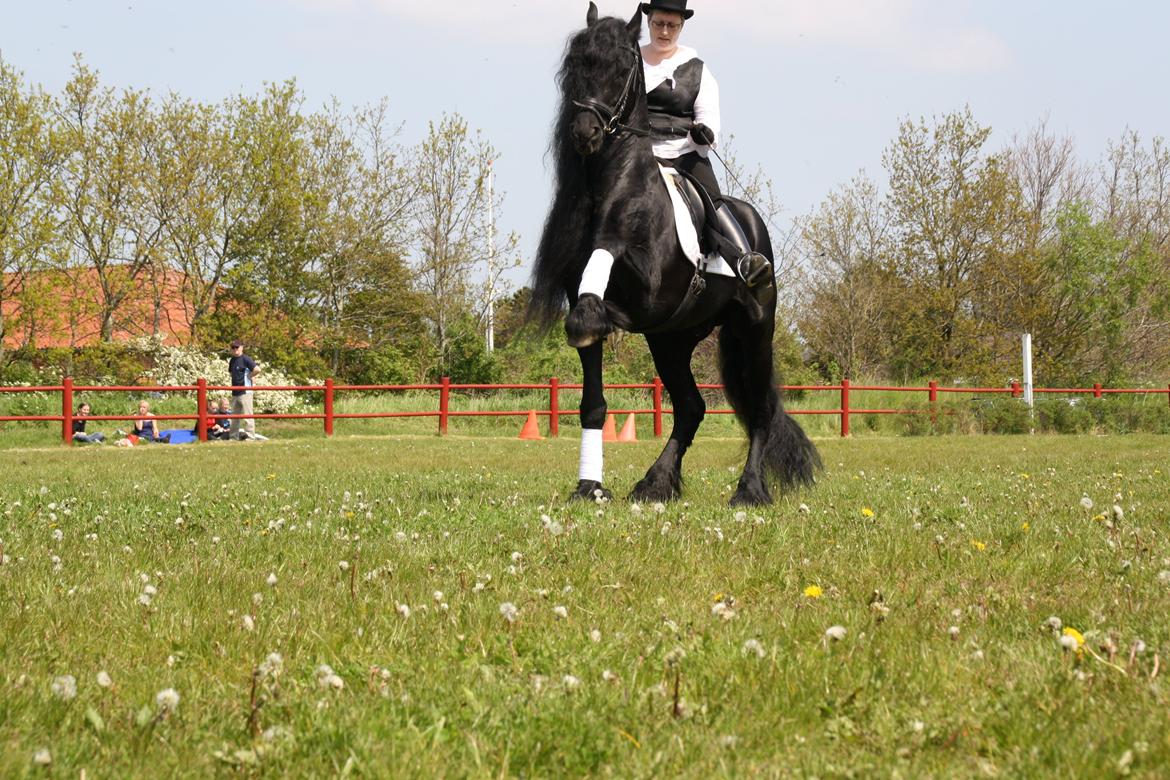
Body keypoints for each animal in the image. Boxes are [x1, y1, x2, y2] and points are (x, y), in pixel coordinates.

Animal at [531, 4, 823, 507]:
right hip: (673, 341)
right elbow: (593, 404)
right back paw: (655, 482)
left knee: (760, 407)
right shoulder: (629, 313)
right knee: (691, 407)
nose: (585, 133)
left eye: (622, 68)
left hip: (754, 327)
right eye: (576, 65)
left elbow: (604, 265)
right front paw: (589, 487)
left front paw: (591, 314)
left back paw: (749, 490)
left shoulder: (648, 293)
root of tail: (751, 221)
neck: (617, 188)